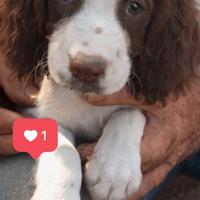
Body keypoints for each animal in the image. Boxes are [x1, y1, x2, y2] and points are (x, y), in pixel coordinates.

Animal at [0, 0, 200, 200]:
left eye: (135, 8)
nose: (86, 70)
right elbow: (64, 148)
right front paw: (58, 194)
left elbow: (129, 112)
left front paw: (113, 170)